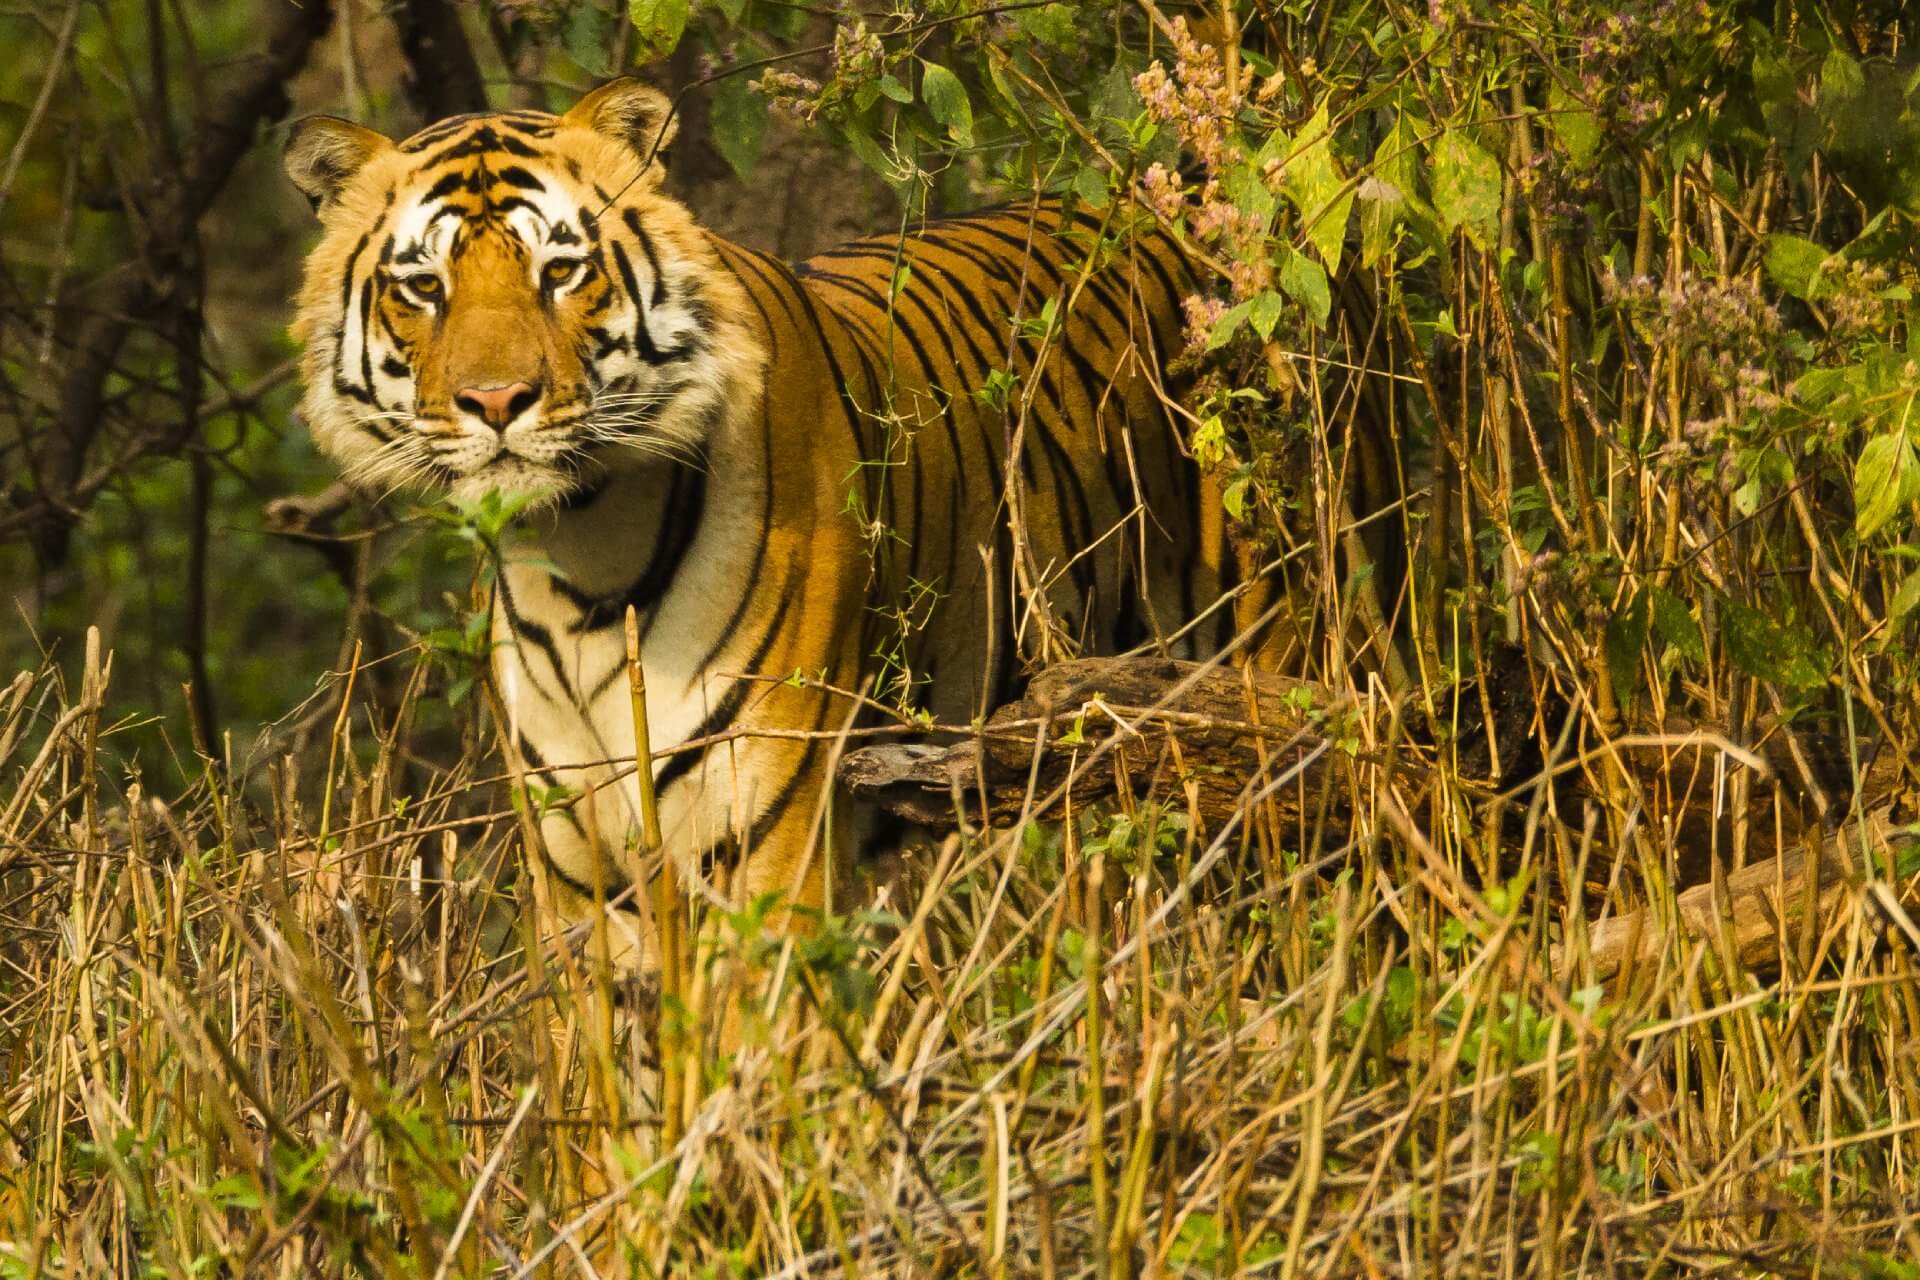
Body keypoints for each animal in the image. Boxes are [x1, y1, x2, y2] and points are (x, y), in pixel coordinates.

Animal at [280, 77, 1259, 971]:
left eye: (560, 272)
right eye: (423, 287)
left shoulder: (762, 839)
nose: (495, 400)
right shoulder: (580, 877)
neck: (577, 561)